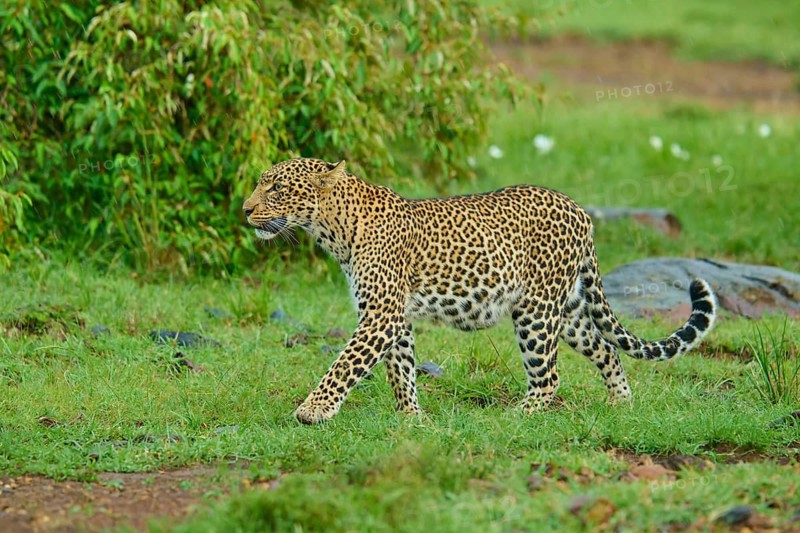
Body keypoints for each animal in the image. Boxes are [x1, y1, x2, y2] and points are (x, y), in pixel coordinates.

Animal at [242, 158, 718, 424]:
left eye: (276, 187)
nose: (245, 209)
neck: (333, 229)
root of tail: (580, 209)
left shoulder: (381, 314)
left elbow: (345, 364)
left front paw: (313, 411)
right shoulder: (394, 316)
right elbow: (400, 369)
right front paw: (411, 418)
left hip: (536, 312)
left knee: (550, 377)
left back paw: (517, 417)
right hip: (567, 310)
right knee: (606, 348)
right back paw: (621, 404)